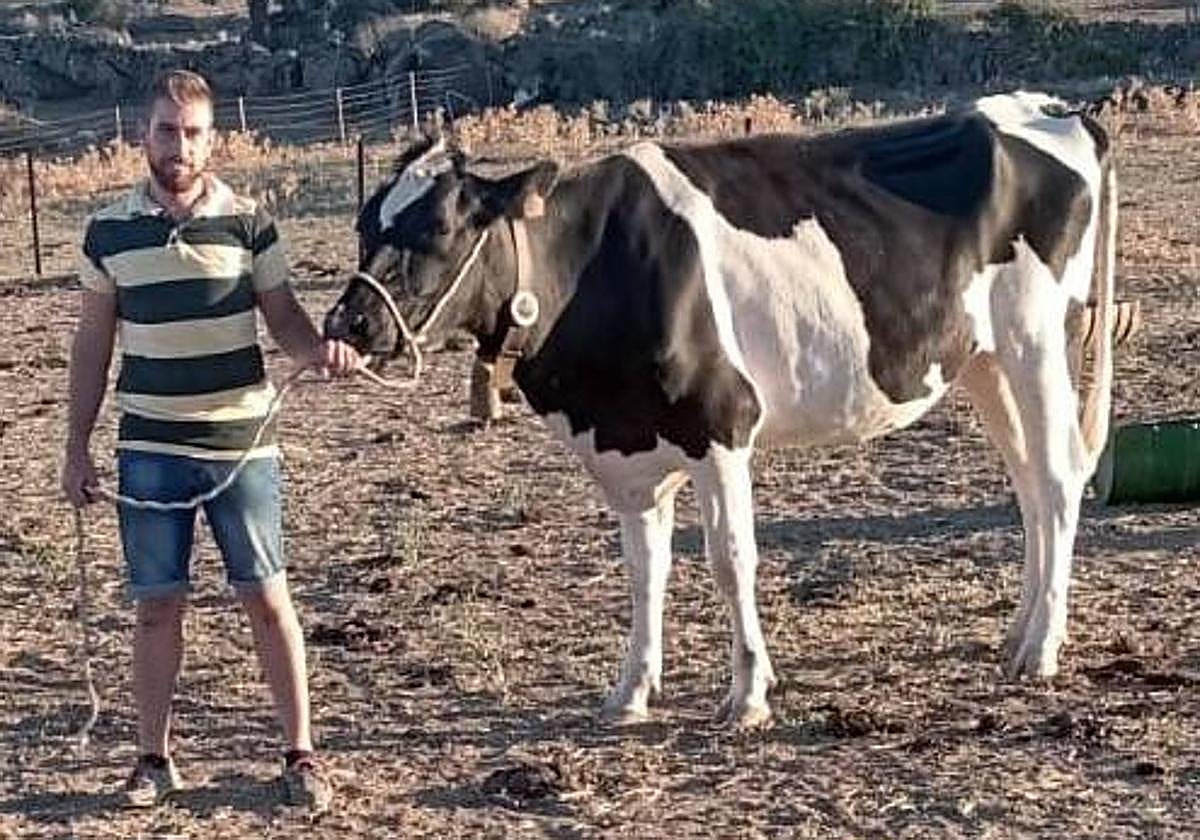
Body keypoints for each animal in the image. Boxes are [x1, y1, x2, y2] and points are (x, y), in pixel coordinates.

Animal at [324, 92, 1117, 727]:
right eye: (363, 225)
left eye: (436, 229)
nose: (348, 323)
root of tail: (1049, 107)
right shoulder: (628, 449)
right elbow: (645, 569)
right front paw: (630, 691)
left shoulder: (722, 423)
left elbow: (731, 559)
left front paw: (748, 696)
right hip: (983, 360)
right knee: (1028, 485)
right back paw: (1018, 634)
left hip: (1037, 337)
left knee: (1057, 480)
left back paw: (1041, 647)